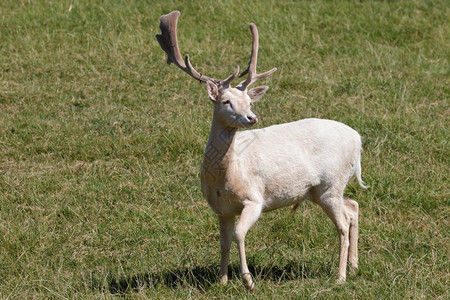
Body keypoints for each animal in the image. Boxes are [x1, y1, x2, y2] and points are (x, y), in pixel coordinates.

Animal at [156, 10, 368, 290]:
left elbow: (238, 234)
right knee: (352, 206)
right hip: (319, 190)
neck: (225, 177)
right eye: (226, 101)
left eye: (249, 101)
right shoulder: (221, 209)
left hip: (331, 183)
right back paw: (354, 266)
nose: (251, 117)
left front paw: (248, 281)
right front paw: (222, 280)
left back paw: (340, 276)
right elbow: (223, 242)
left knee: (342, 224)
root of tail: (357, 140)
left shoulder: (255, 199)